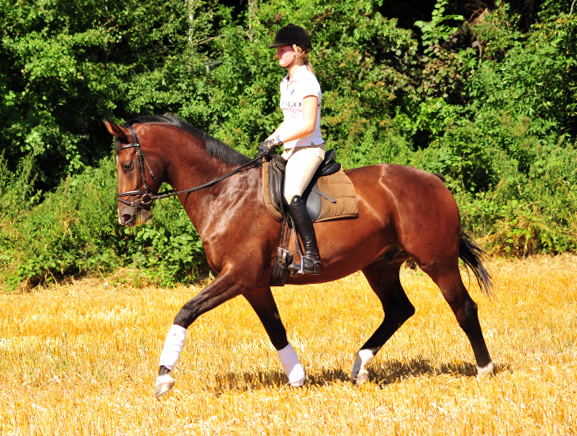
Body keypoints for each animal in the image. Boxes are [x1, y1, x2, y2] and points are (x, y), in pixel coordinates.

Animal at [102, 115, 490, 398]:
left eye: (126, 165)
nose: (126, 216)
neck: (224, 192)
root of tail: (434, 181)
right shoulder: (254, 284)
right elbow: (276, 329)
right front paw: (298, 377)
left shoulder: (237, 275)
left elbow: (185, 312)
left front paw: (163, 378)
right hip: (380, 266)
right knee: (398, 310)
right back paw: (360, 365)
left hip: (437, 262)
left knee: (464, 307)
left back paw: (485, 369)